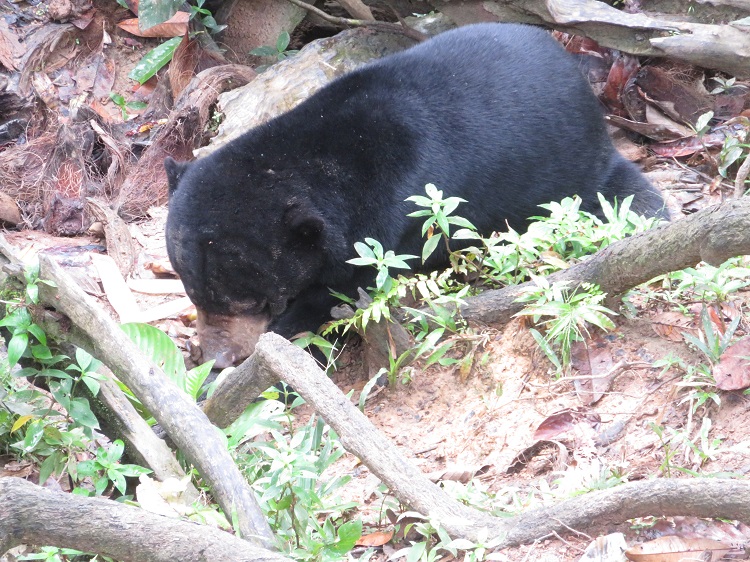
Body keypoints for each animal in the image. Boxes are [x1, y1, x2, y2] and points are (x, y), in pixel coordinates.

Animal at [165, 23, 667, 369]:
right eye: (192, 292)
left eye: (253, 301)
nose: (219, 357)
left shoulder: (394, 216)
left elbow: (340, 294)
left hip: (574, 175)